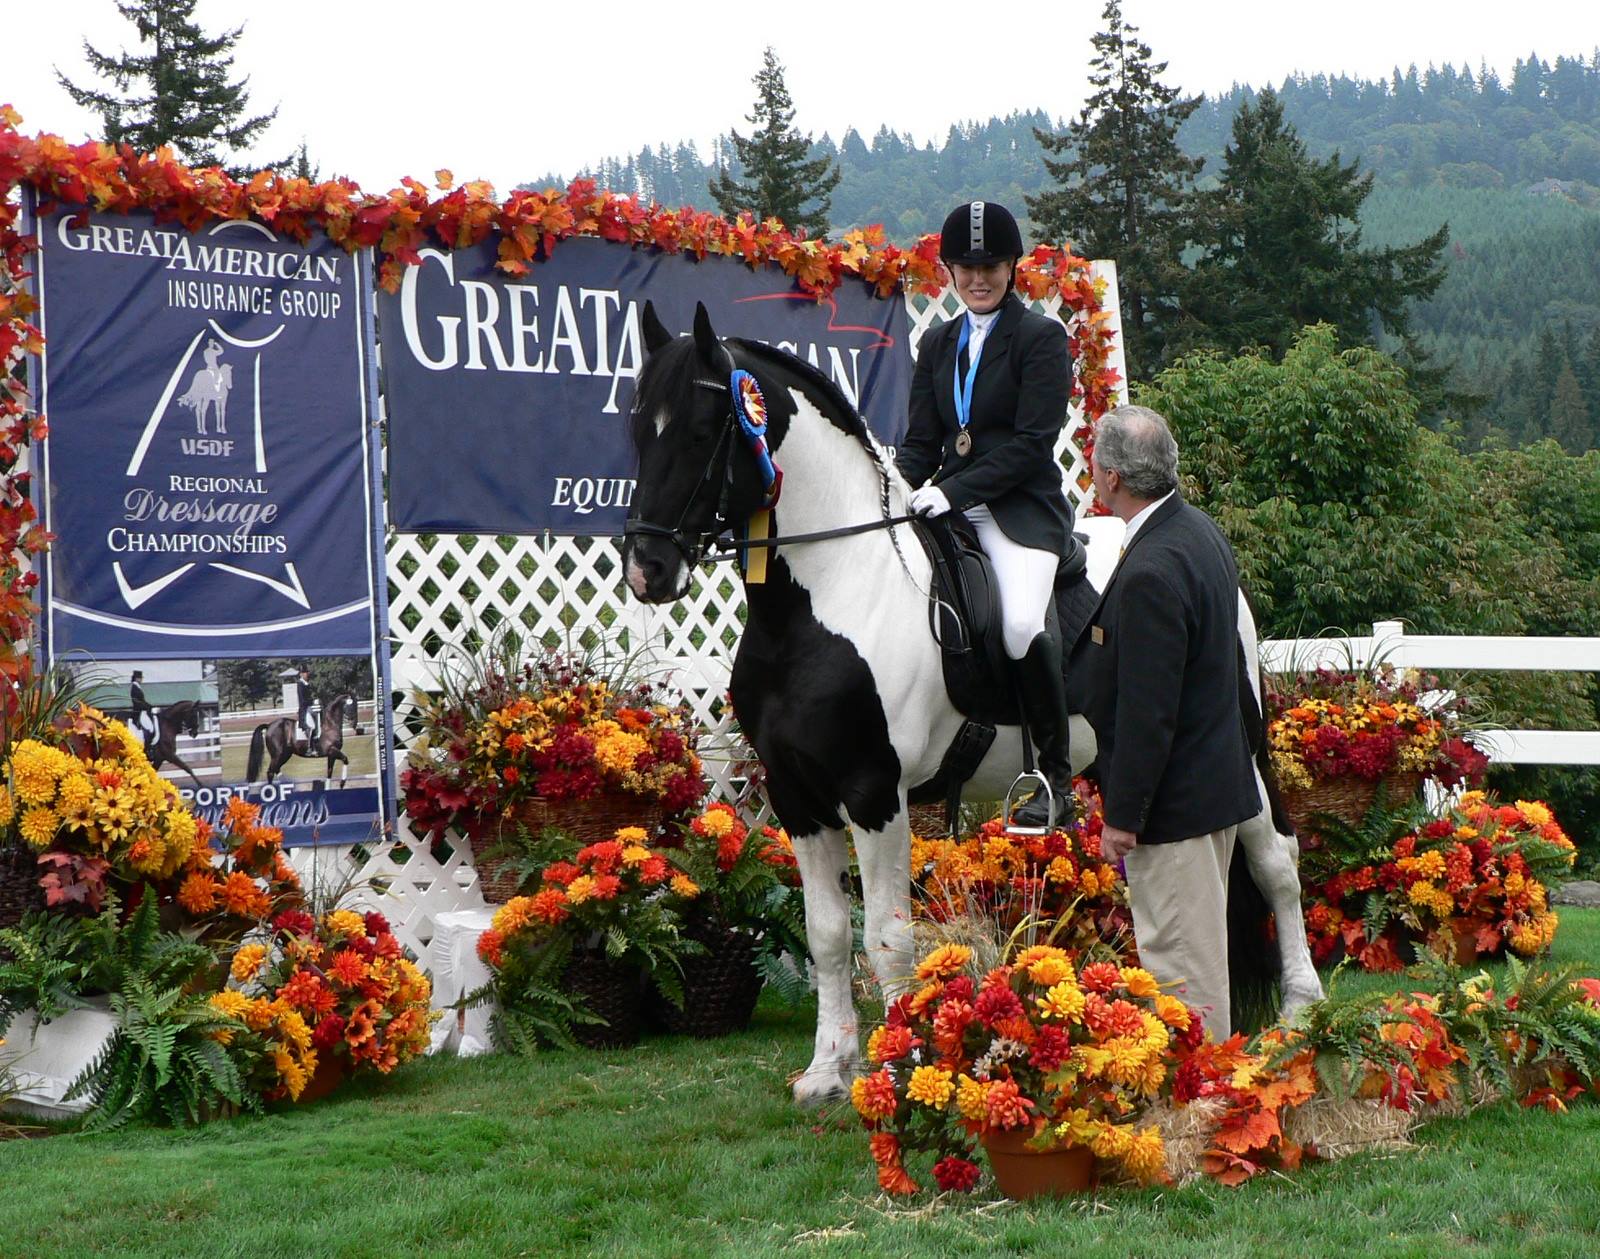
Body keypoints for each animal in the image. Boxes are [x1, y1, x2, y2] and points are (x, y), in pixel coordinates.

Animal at [617, 305, 1318, 1100]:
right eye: (638, 427)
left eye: (703, 430)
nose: (647, 570)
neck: (824, 600)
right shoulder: (797, 795)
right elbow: (827, 933)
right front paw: (827, 1070)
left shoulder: (873, 792)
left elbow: (886, 937)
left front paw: (895, 1065)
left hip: (1241, 747)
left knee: (1274, 858)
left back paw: (1299, 1009)